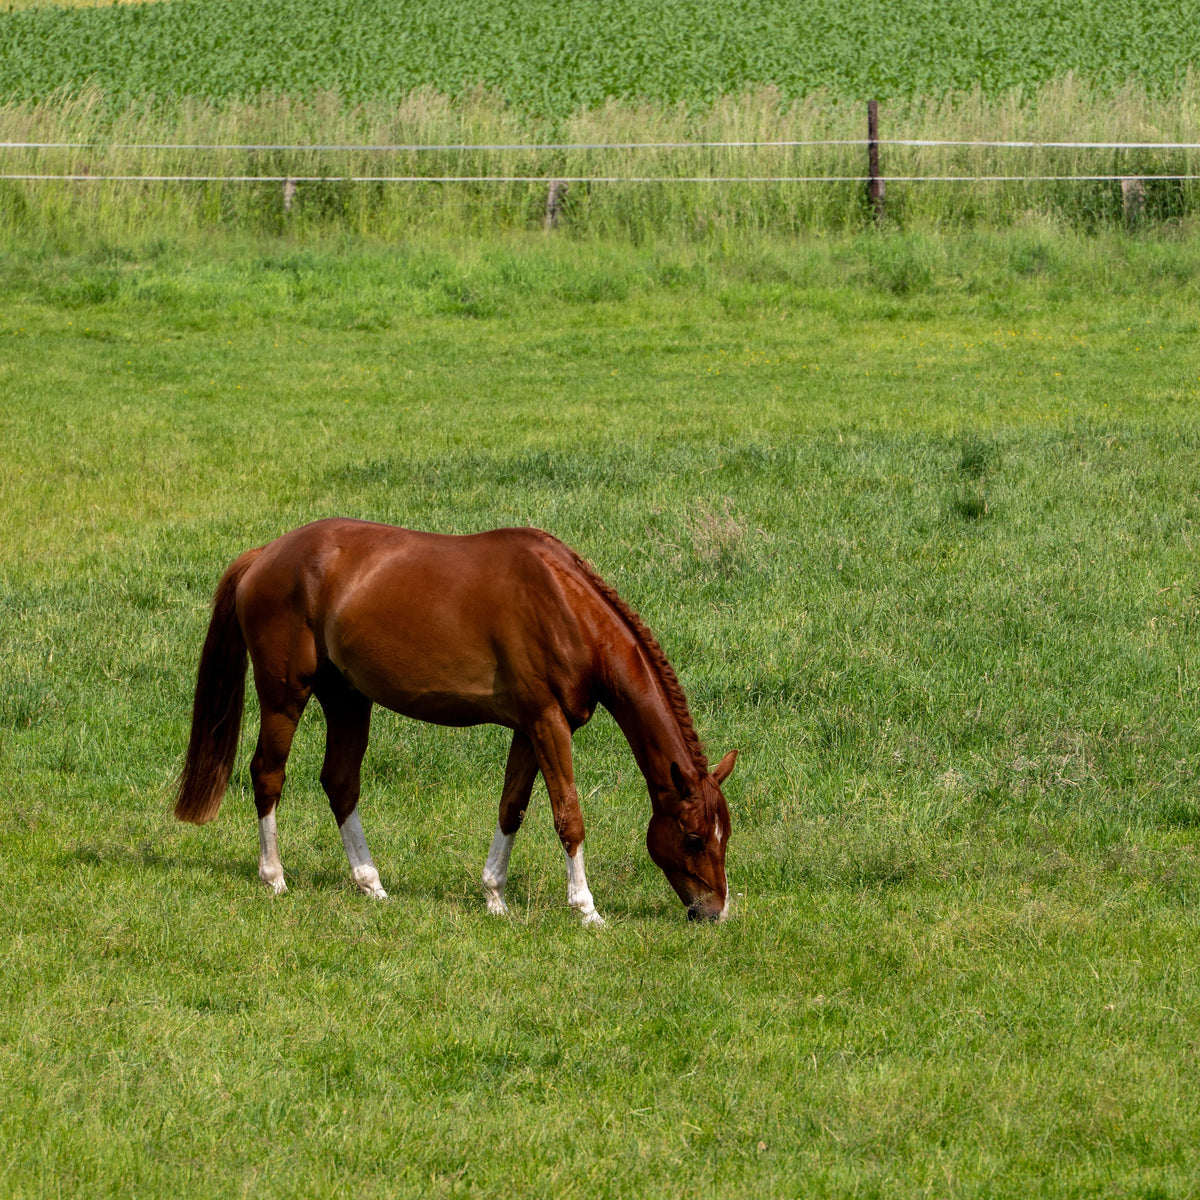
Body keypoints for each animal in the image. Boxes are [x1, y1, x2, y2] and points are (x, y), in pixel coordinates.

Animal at [173, 518, 737, 924]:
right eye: (692, 838)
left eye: (723, 834)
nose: (715, 913)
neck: (563, 605)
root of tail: (265, 554)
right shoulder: (548, 723)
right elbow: (568, 816)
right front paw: (586, 908)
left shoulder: (530, 728)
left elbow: (512, 809)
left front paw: (494, 898)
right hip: (285, 697)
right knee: (268, 774)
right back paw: (274, 877)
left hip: (348, 699)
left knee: (340, 782)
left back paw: (371, 883)